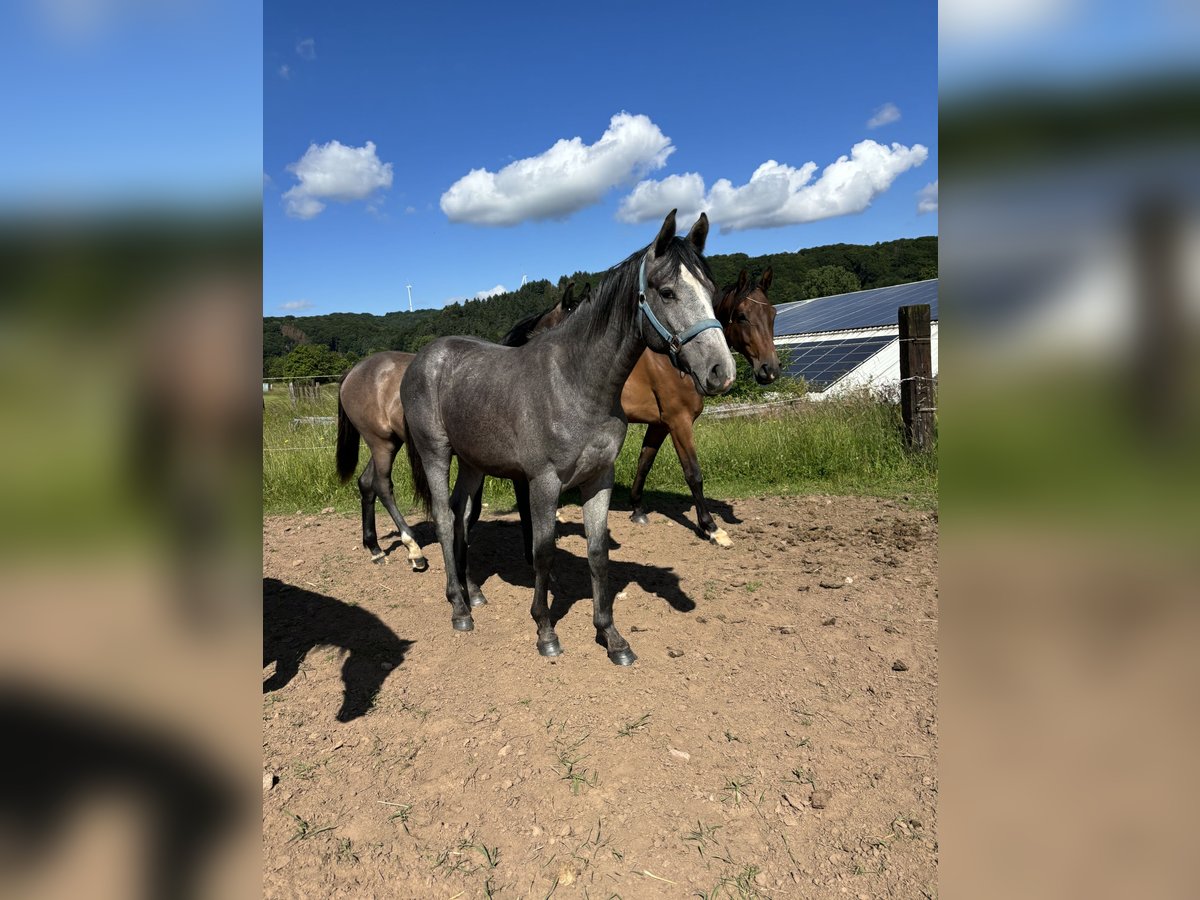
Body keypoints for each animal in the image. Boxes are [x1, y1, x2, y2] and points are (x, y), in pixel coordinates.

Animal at [336, 283, 583, 571]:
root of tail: (353, 371)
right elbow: (510, 509)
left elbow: (475, 509)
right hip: (381, 444)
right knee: (382, 486)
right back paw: (413, 549)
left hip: (388, 442)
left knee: (366, 483)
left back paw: (374, 547)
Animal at [400, 210, 729, 662]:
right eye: (667, 292)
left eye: (712, 291)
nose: (721, 371)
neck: (576, 383)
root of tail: (422, 360)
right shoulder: (543, 483)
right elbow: (542, 553)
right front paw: (545, 631)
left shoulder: (599, 479)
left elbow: (597, 553)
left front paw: (611, 636)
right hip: (436, 453)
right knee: (445, 520)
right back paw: (459, 608)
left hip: (472, 462)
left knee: (462, 515)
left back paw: (473, 593)